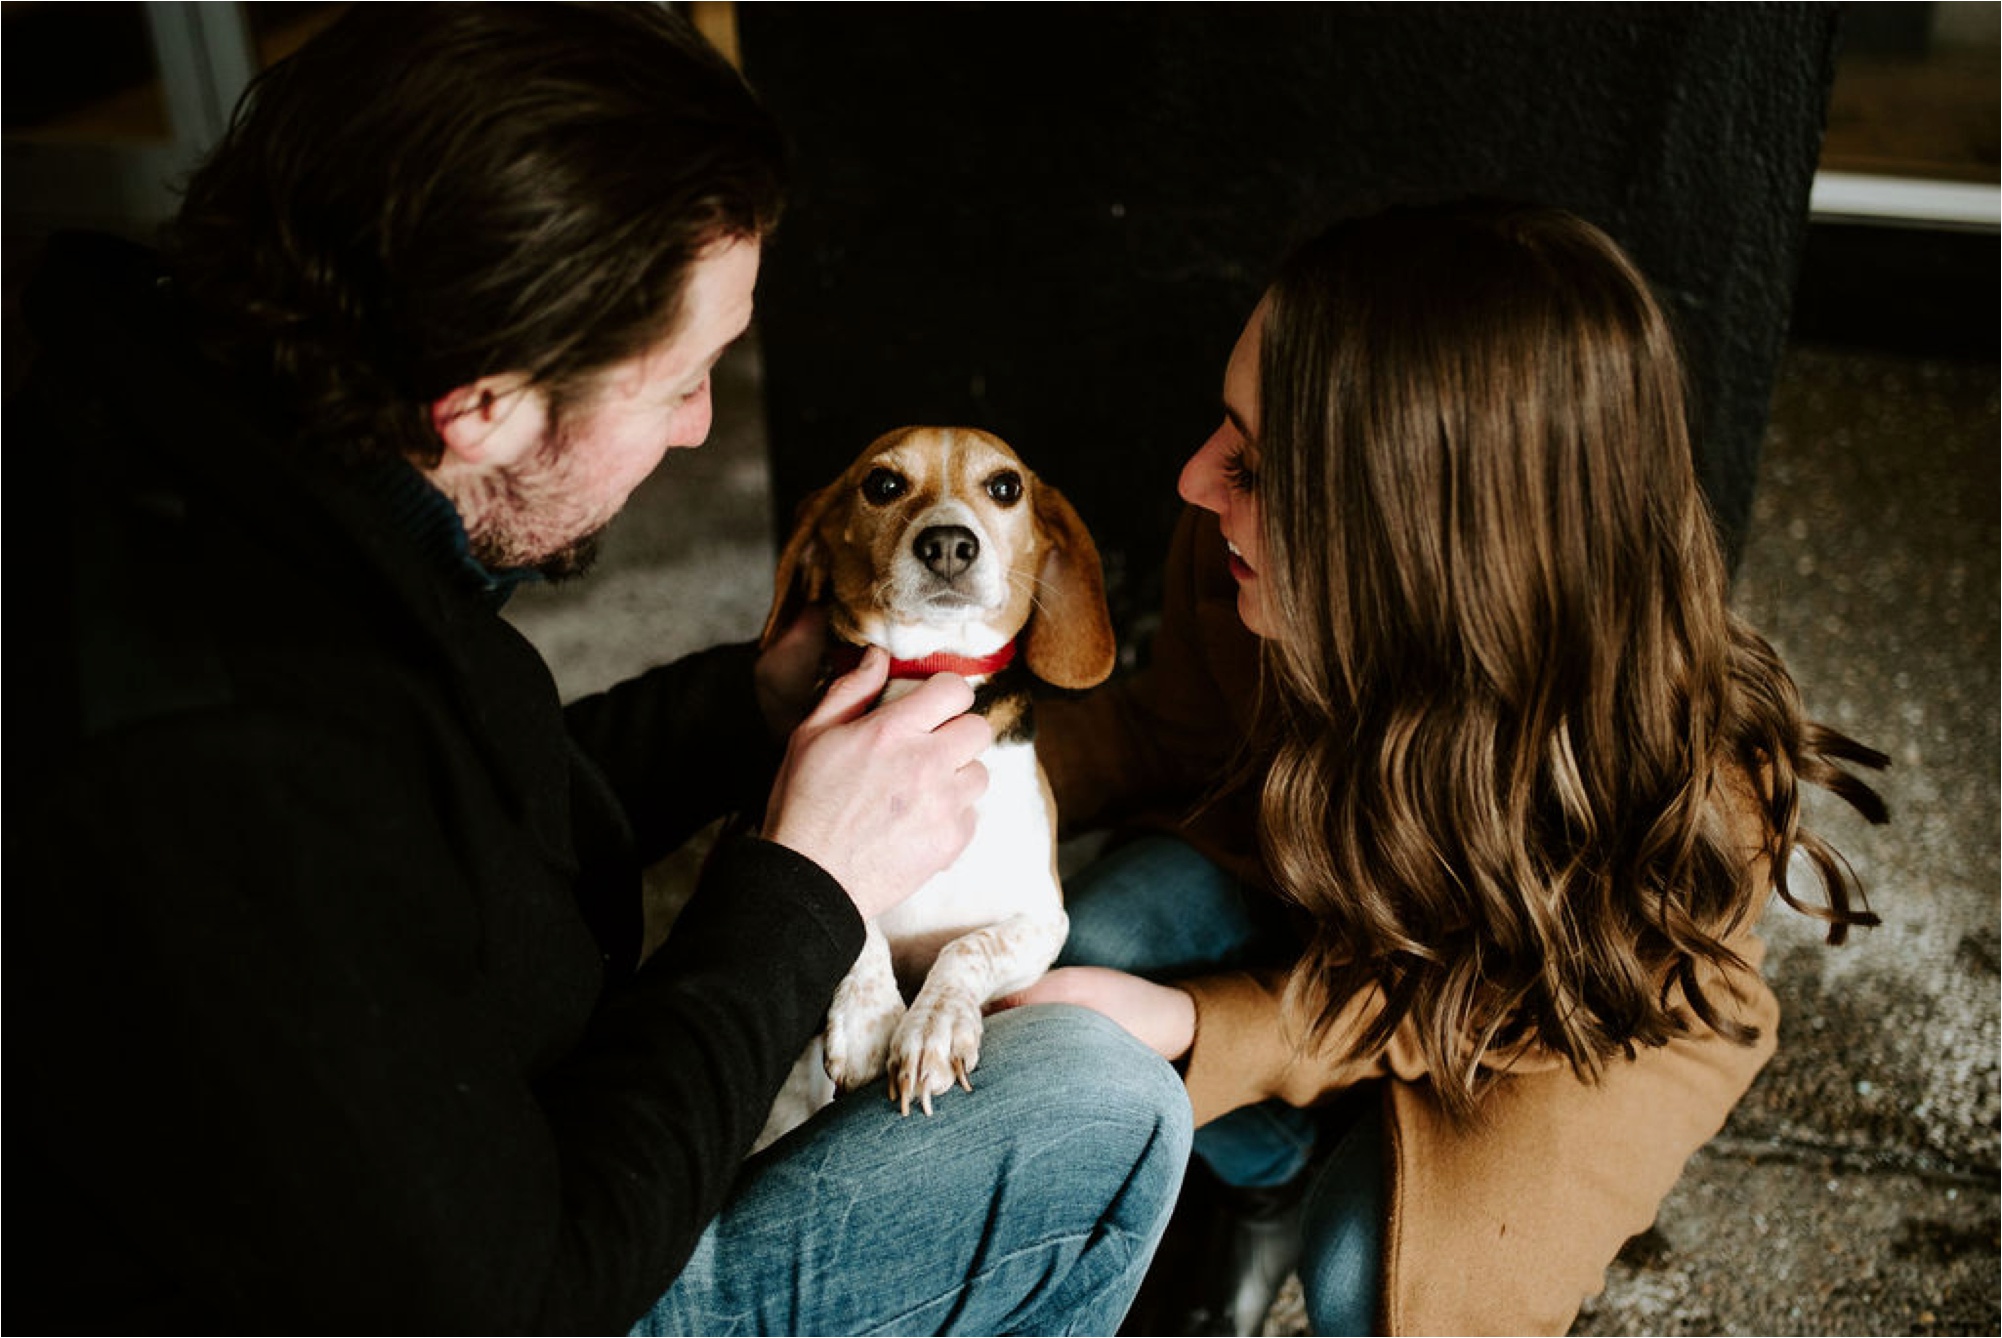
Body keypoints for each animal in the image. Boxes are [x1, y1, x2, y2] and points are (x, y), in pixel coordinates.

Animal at [752, 426, 1121, 1153]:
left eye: (1005, 486)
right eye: (883, 484)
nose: (948, 542)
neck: (929, 671)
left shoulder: (1044, 918)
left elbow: (967, 946)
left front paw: (932, 1026)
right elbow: (847, 897)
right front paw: (870, 1018)